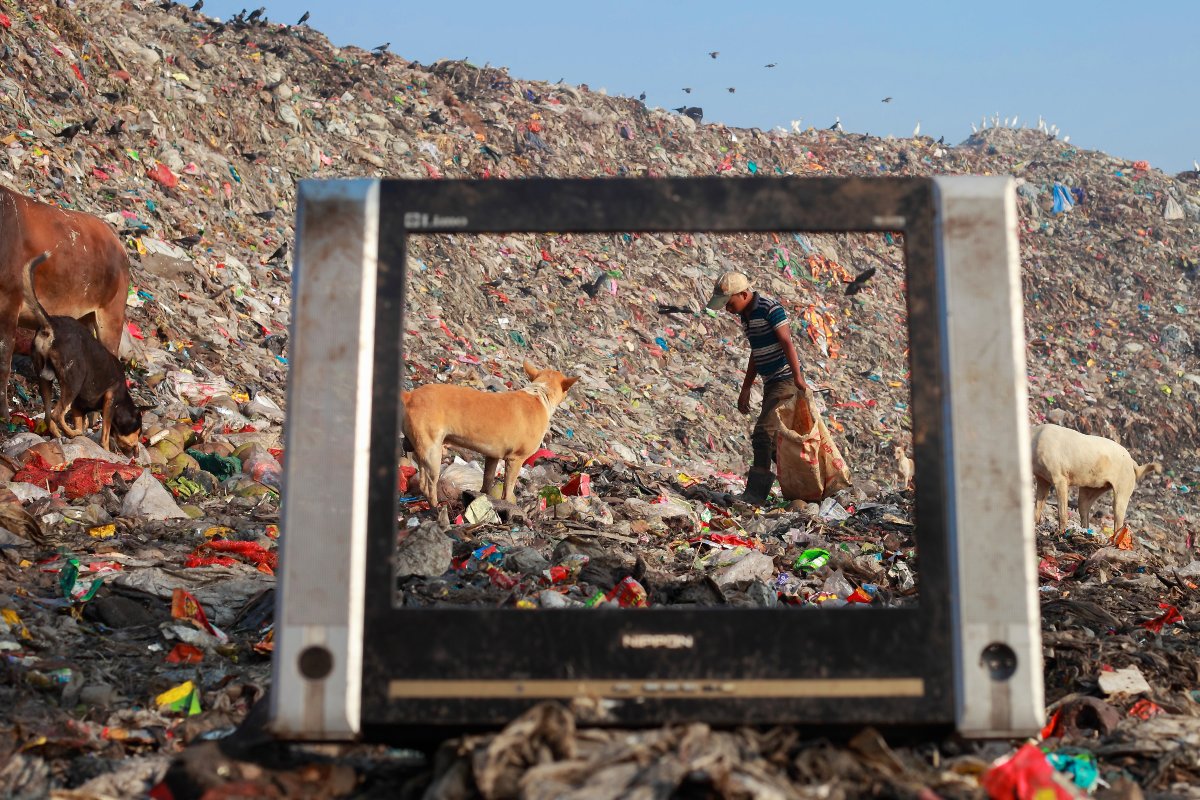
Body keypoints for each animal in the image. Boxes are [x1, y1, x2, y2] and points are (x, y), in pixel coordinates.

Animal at [0, 185, 130, 419]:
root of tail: (119, 245)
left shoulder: (9, 302)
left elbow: (4, 360)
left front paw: (4, 414)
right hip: (86, 320)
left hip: (111, 316)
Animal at [22, 253, 141, 453]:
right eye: (139, 431)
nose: (138, 453)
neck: (123, 398)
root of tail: (51, 324)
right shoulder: (110, 400)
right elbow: (105, 433)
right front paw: (106, 449)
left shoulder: (79, 407)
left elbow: (81, 421)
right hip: (74, 381)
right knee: (57, 414)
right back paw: (70, 433)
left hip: (44, 378)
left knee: (48, 415)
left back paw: (59, 433)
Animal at [400, 364, 578, 506]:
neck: (540, 393)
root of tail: (410, 396)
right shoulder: (515, 460)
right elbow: (508, 489)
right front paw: (508, 505)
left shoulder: (492, 456)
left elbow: (487, 481)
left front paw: (483, 498)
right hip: (432, 453)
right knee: (428, 485)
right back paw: (436, 508)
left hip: (419, 449)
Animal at [1032, 422, 1161, 534]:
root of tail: (1132, 461)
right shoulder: (1042, 481)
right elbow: (1037, 507)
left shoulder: (1060, 481)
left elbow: (1062, 514)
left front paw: (1060, 533)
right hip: (1091, 490)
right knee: (1084, 511)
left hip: (1121, 496)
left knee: (1118, 523)